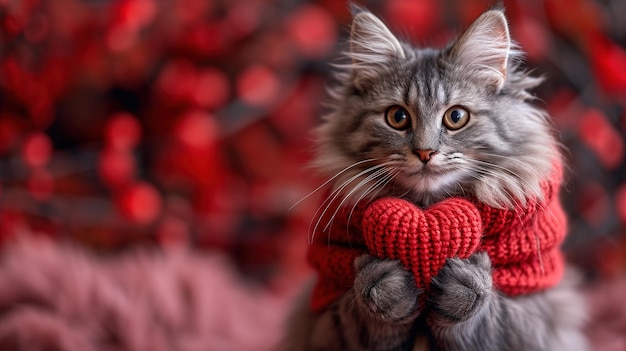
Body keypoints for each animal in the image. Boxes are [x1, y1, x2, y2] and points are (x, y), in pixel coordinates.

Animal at [280, 3, 588, 351]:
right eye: (397, 117)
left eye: (456, 117)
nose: (425, 152)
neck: (427, 209)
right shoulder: (323, 318)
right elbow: (358, 312)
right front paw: (383, 284)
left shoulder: (535, 315)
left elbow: (490, 314)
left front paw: (466, 283)